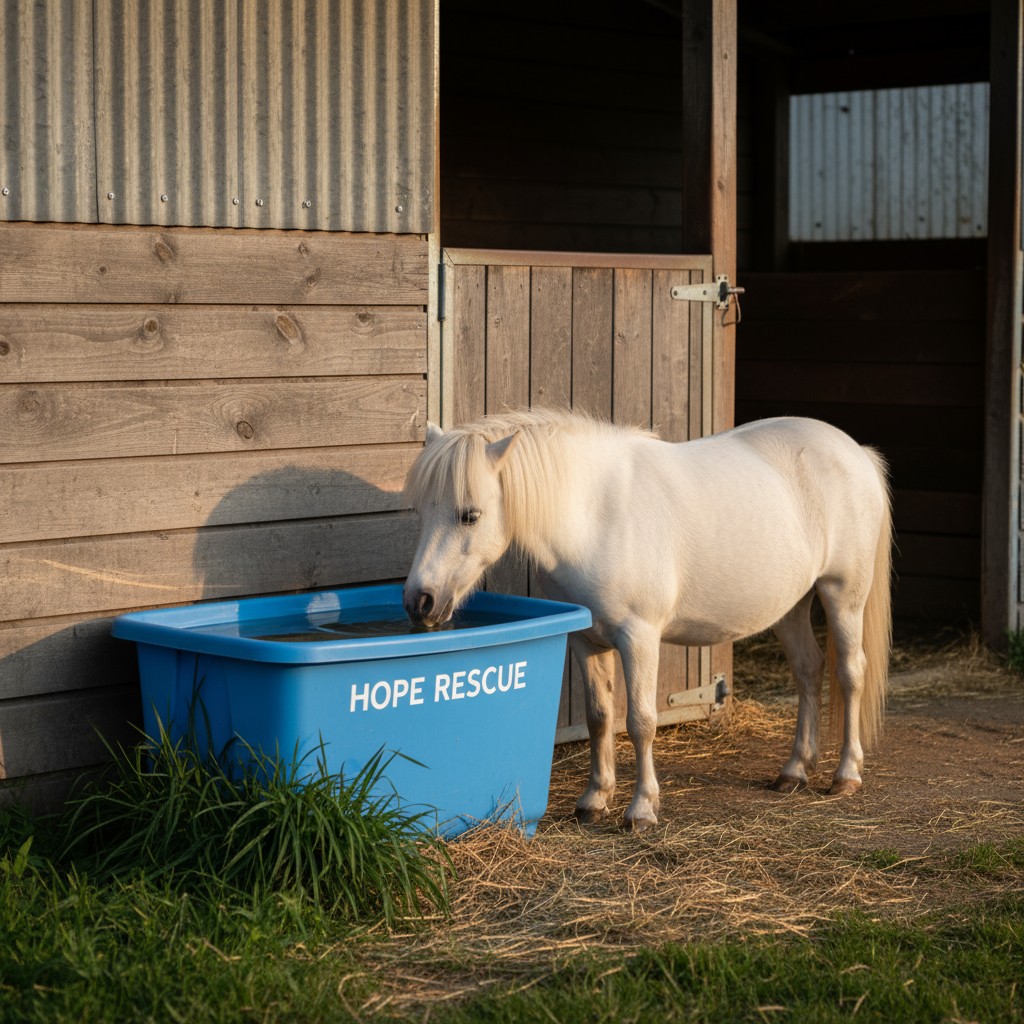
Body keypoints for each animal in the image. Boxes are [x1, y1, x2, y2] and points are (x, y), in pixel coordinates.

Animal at [402, 409, 892, 831]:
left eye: (470, 515)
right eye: (421, 511)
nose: (419, 601)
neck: (595, 516)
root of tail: (855, 451)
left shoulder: (638, 637)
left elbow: (640, 721)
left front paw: (641, 809)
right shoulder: (587, 640)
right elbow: (600, 716)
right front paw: (594, 799)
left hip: (843, 595)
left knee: (849, 674)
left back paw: (846, 775)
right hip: (791, 606)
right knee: (808, 671)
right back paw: (794, 770)